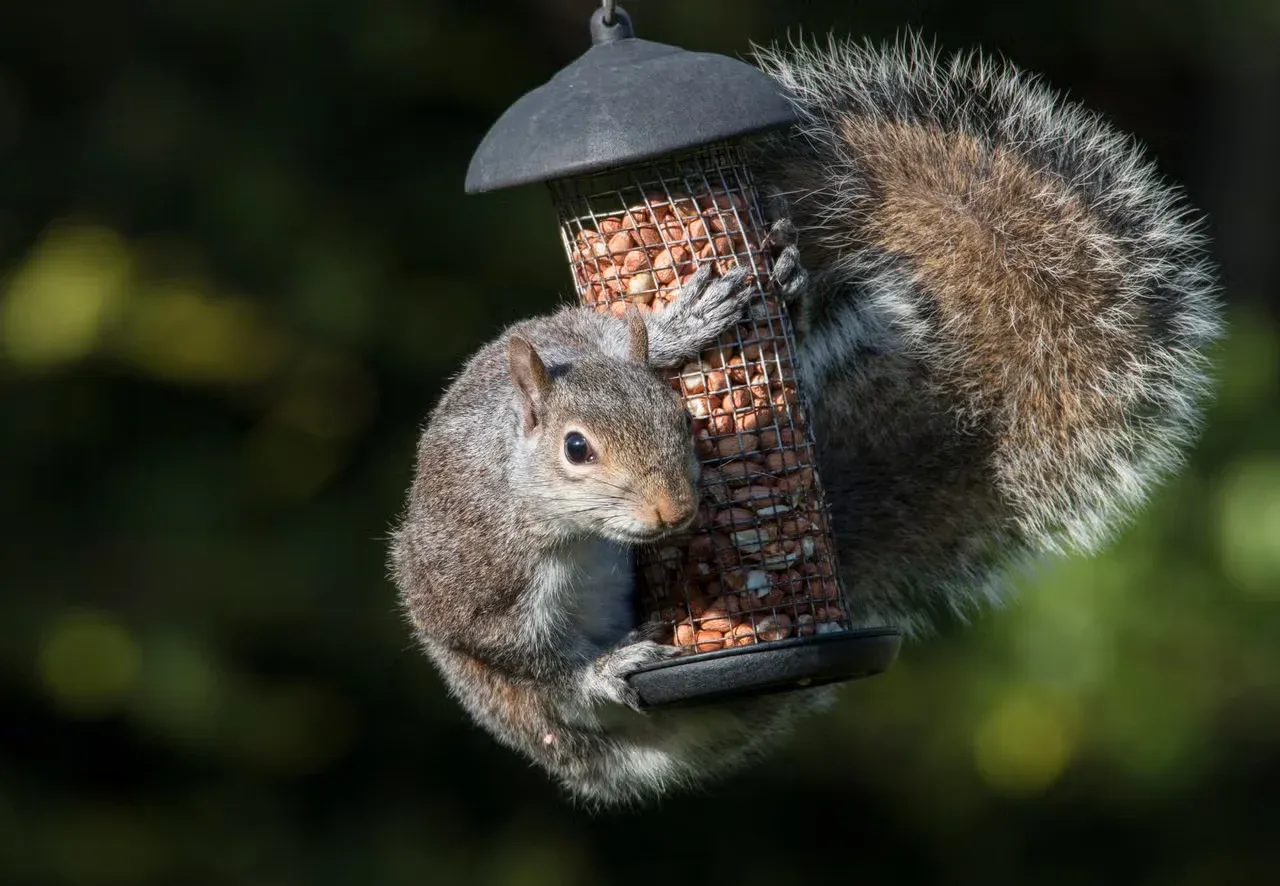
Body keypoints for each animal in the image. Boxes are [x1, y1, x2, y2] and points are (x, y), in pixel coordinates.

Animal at [389, 35, 1222, 807]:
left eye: (679, 421)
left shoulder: (567, 335)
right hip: (517, 709)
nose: (673, 511)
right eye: (575, 449)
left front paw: (685, 325)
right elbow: (533, 662)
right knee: (557, 705)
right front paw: (603, 668)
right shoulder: (478, 582)